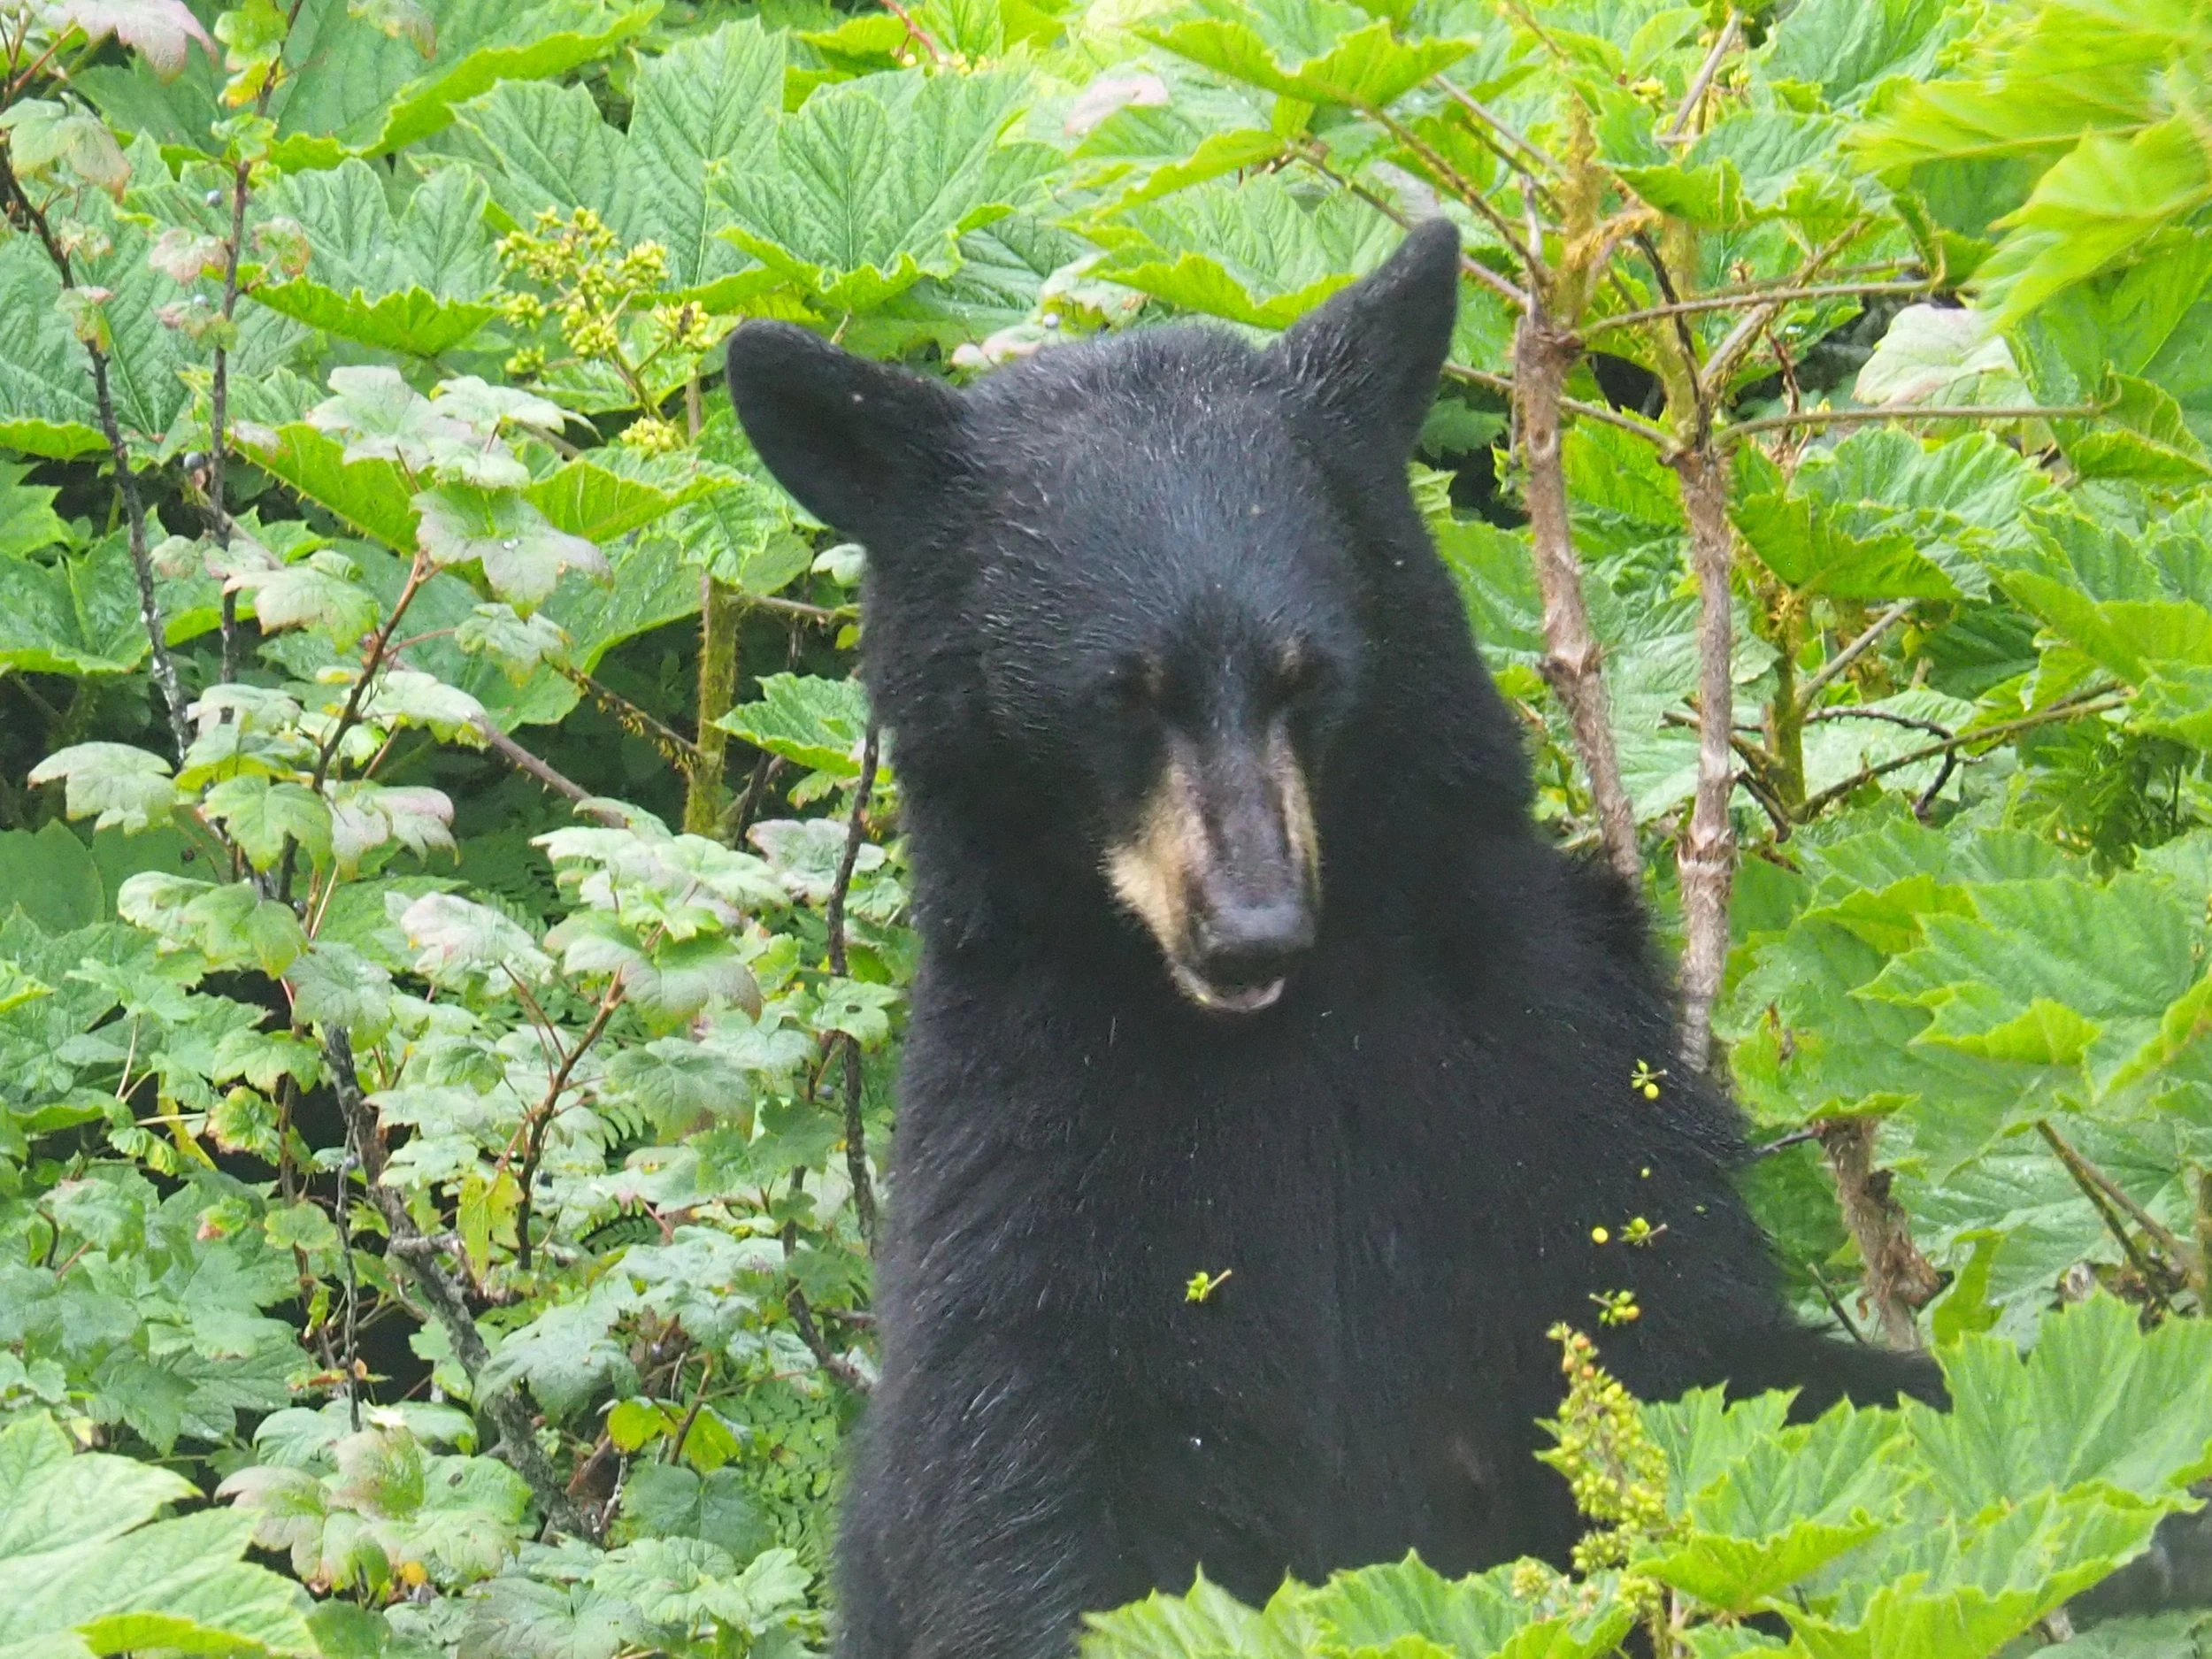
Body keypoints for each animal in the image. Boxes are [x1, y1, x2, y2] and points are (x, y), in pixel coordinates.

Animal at [724, 220, 1940, 1659]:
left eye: (1307, 675)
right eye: (1118, 697)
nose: (1254, 933)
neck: (1277, 1045)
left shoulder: (1555, 1068)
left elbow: (1699, 1353)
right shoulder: (1031, 1145)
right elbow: (1028, 1480)